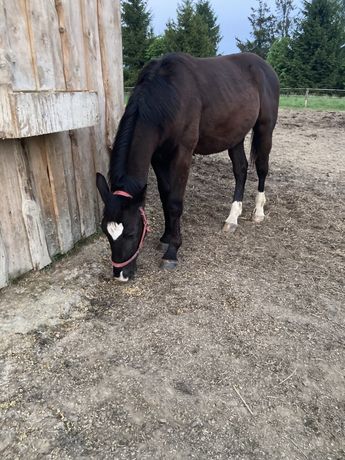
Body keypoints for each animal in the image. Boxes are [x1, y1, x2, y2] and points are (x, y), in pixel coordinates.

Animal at [95, 50, 278, 280]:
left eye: (131, 232)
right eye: (105, 231)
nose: (121, 275)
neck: (167, 96)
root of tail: (264, 66)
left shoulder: (182, 154)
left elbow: (174, 202)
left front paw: (172, 252)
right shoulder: (158, 157)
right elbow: (165, 197)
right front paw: (165, 237)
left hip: (265, 128)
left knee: (262, 168)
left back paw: (258, 212)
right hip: (235, 135)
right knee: (241, 170)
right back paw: (232, 218)